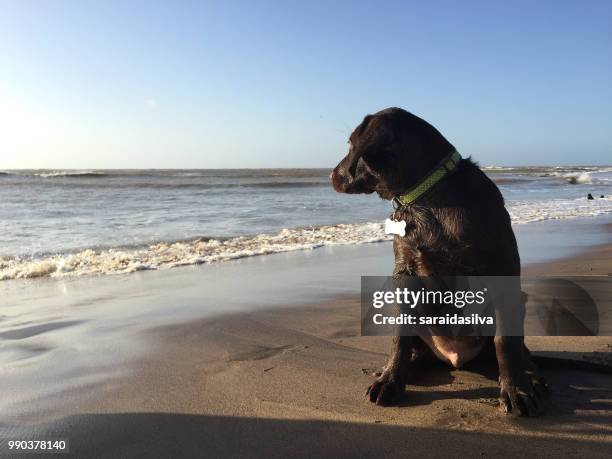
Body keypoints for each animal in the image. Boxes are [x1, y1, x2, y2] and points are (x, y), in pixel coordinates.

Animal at [332, 108, 548, 416]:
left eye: (351, 145)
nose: (332, 175)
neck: (428, 198)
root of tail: (454, 358)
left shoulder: (502, 272)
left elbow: (504, 340)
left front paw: (516, 391)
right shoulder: (404, 272)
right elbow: (399, 337)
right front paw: (390, 379)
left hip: (519, 299)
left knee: (518, 349)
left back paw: (531, 376)